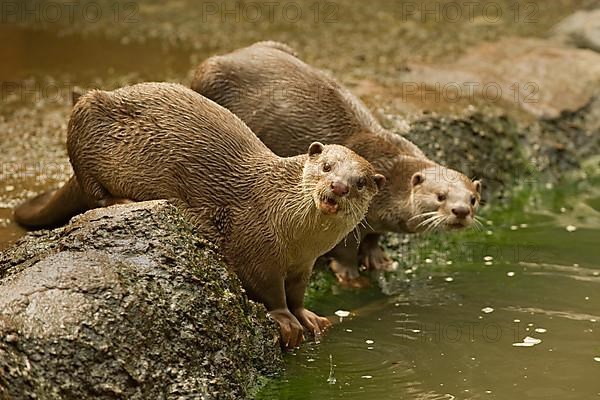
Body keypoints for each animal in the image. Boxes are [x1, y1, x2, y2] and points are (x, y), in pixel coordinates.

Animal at [14, 81, 384, 346]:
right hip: (84, 122)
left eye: (361, 182)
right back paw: (120, 201)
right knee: (92, 191)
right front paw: (285, 321)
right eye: (327, 166)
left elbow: (296, 292)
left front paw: (307, 316)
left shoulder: (303, 265)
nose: (339, 186)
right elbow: (268, 289)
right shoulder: (254, 245)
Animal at [192, 42, 482, 282]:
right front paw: (350, 276)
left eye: (472, 199)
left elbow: (374, 237)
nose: (460, 211)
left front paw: (379, 259)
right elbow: (345, 249)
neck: (391, 175)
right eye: (440, 196)